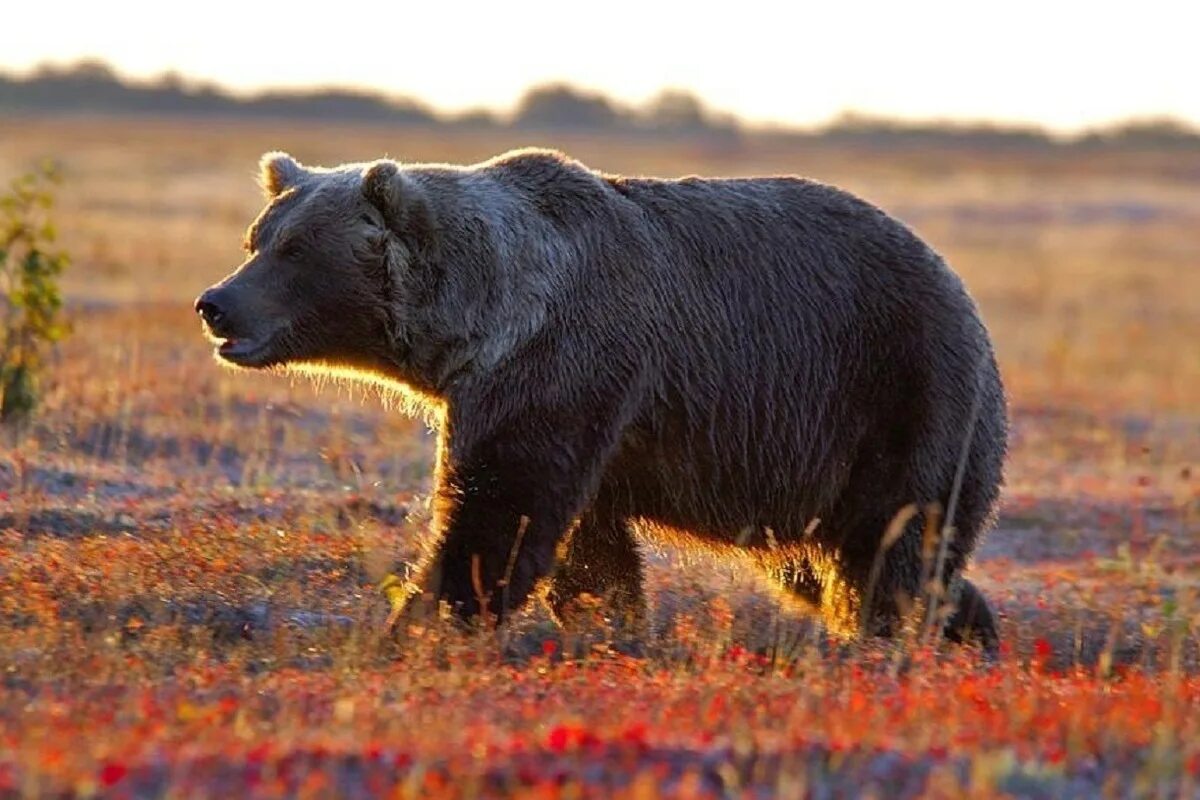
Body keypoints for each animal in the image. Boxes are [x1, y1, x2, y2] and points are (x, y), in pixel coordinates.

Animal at [196, 148, 1003, 652]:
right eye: (256, 239)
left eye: (295, 250)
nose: (216, 304)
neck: (481, 318)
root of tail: (965, 298)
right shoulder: (568, 408)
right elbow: (586, 549)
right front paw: (608, 625)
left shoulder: (563, 362)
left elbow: (498, 516)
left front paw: (416, 625)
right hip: (808, 472)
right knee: (832, 564)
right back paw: (972, 629)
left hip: (897, 395)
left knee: (890, 549)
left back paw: (892, 641)